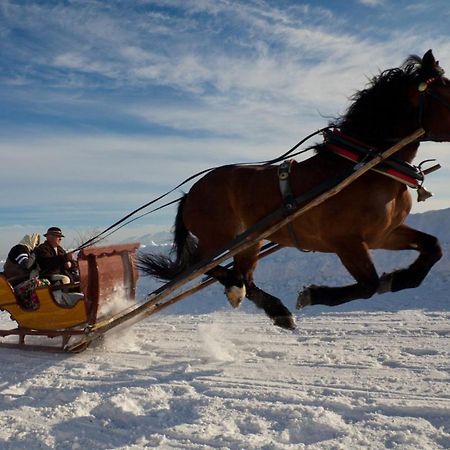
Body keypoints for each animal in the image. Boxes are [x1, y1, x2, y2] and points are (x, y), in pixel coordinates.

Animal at [138, 50, 450, 330]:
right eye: (447, 90)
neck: (366, 166)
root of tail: (191, 193)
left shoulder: (383, 234)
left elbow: (432, 248)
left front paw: (397, 279)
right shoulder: (346, 242)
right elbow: (368, 285)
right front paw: (312, 294)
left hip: (250, 242)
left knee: (242, 276)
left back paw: (275, 310)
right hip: (219, 240)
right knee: (203, 266)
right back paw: (242, 292)